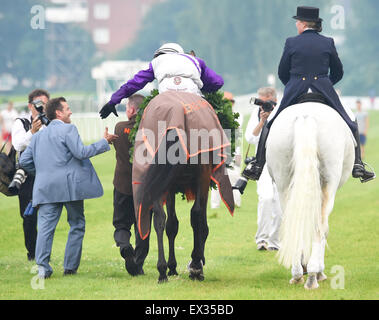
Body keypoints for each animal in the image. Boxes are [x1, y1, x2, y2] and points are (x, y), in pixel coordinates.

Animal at [268, 103, 356, 290]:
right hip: (328, 184)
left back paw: (297, 273)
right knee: (320, 227)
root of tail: (305, 116)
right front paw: (317, 270)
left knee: (294, 222)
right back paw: (313, 275)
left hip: (283, 183)